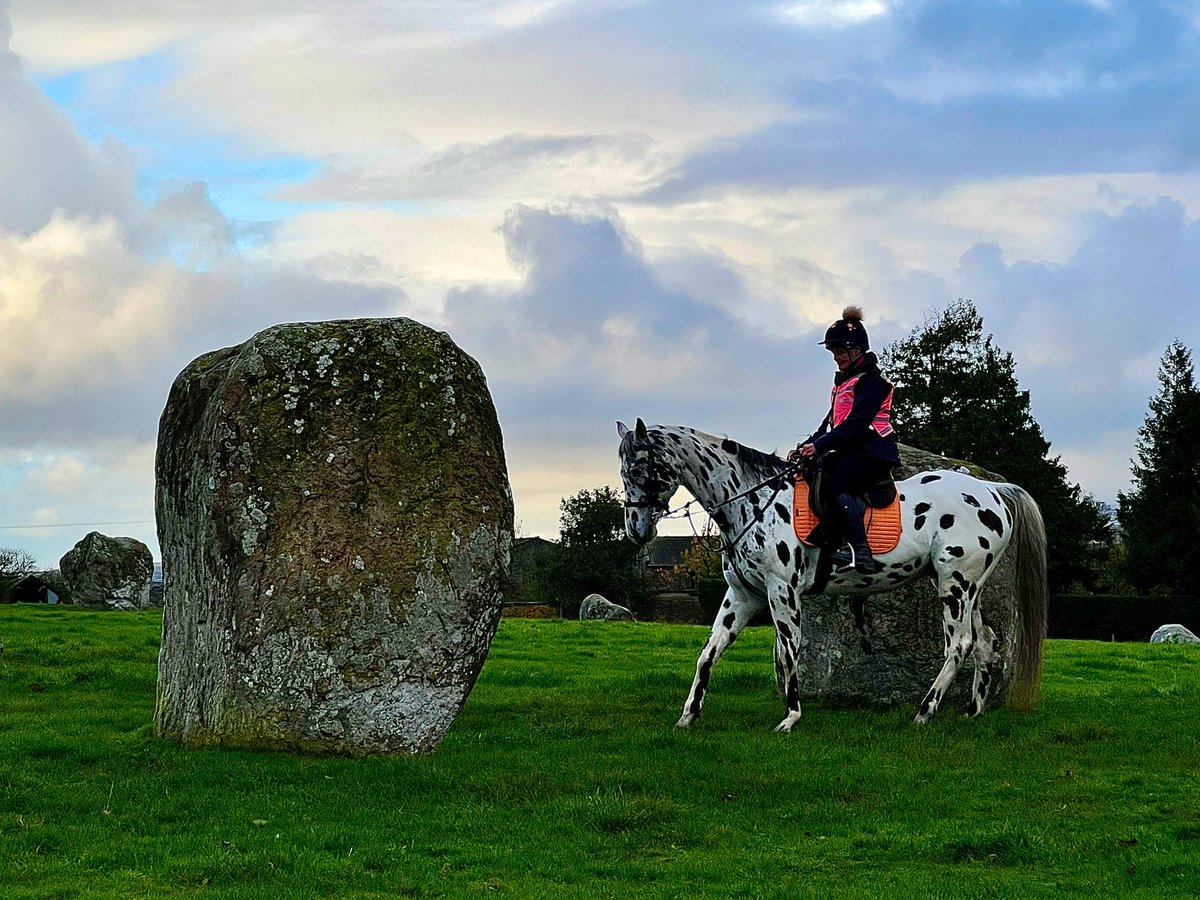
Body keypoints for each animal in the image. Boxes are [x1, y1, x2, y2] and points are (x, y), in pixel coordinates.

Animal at [616, 418, 1047, 732]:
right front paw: (688, 716)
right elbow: (709, 652)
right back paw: (973, 711)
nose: (636, 529)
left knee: (959, 644)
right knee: (985, 642)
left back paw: (925, 712)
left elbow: (789, 651)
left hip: (955, 583)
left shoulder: (781, 591)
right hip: (966, 586)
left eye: (638, 468)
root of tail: (991, 489)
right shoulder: (742, 595)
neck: (754, 501)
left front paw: (790, 718)